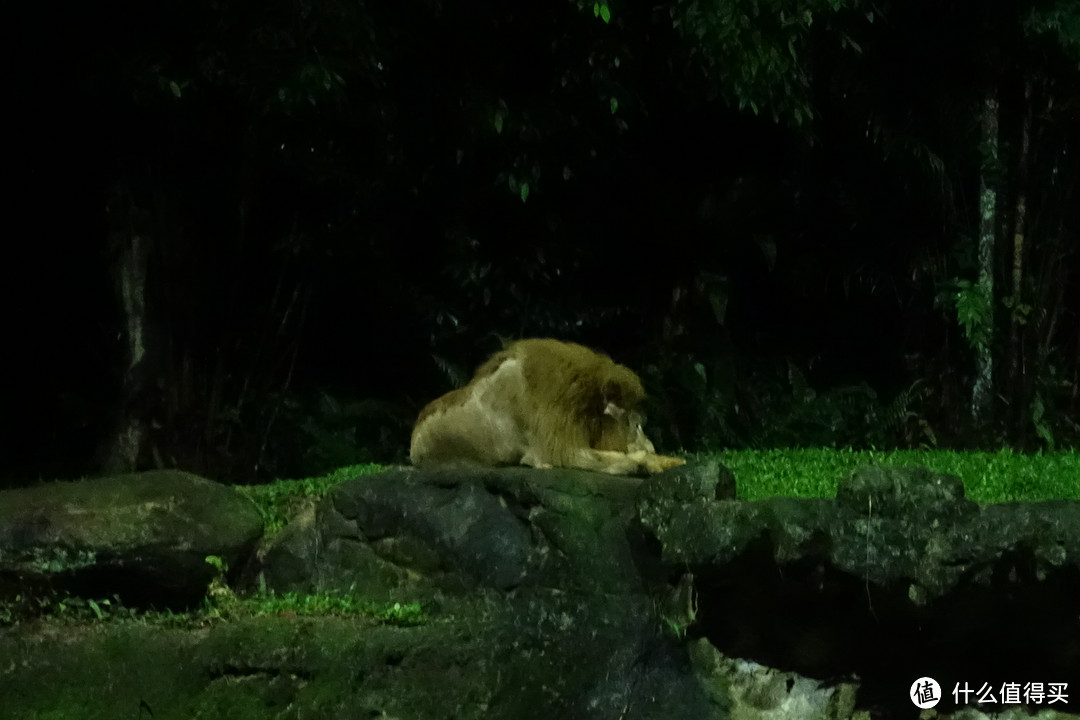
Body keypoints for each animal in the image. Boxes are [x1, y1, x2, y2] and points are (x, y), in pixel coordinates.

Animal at [408, 338, 686, 474]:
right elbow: (613, 459)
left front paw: (671, 461)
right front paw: (643, 461)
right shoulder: (551, 451)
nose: (651, 444)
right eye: (637, 424)